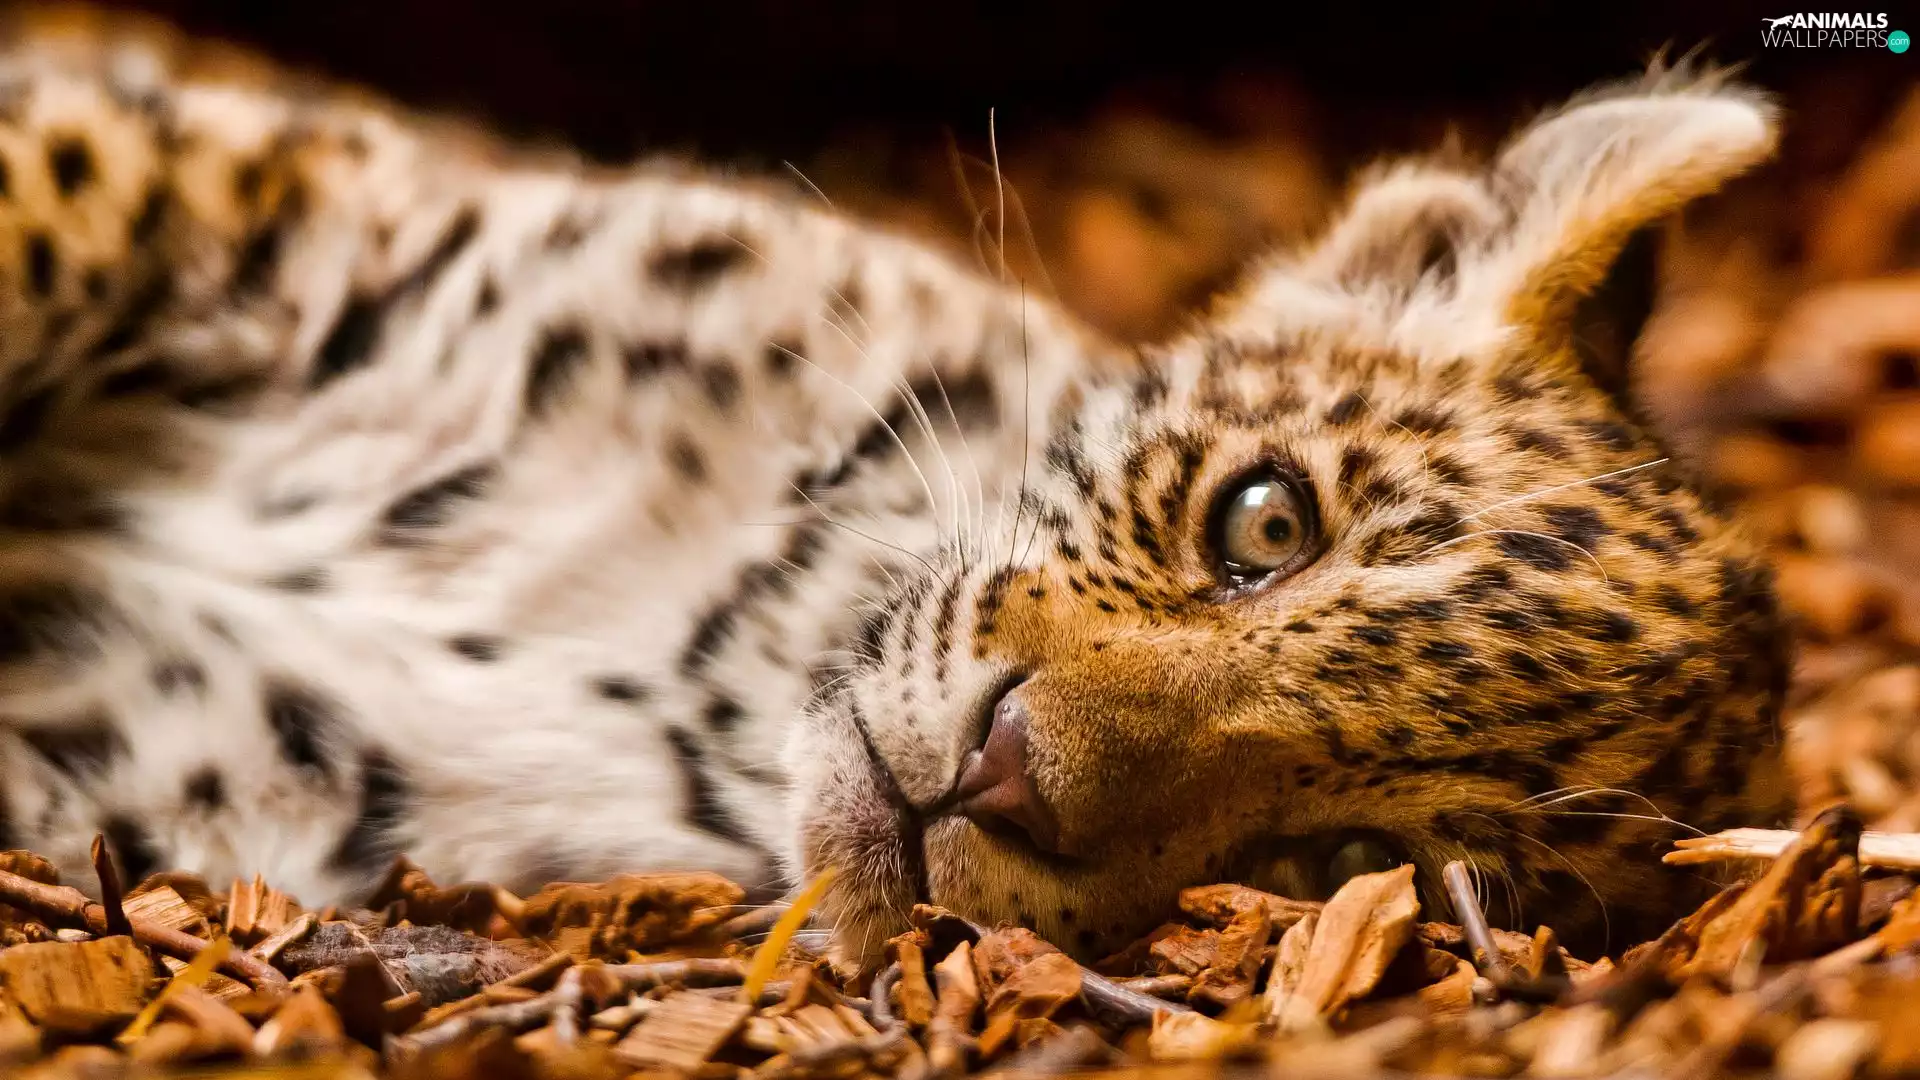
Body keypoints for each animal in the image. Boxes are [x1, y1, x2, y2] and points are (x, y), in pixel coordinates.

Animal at [0, 9, 1794, 969]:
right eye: (1264, 523)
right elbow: (45, 207)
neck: (690, 662)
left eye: (1333, 859)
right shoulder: (290, 207)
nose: (1004, 779)